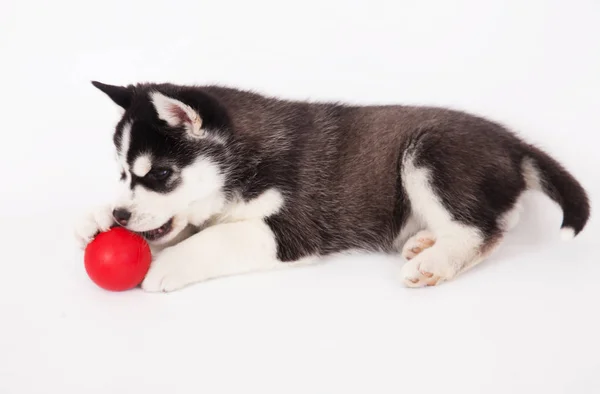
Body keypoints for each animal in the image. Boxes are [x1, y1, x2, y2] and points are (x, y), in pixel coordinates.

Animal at [72, 81, 588, 292]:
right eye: (123, 173)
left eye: (159, 175)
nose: (120, 216)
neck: (246, 160)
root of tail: (513, 142)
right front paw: (94, 217)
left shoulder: (295, 226)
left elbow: (218, 236)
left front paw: (170, 263)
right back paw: (424, 241)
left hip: (430, 154)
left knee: (484, 231)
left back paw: (434, 261)